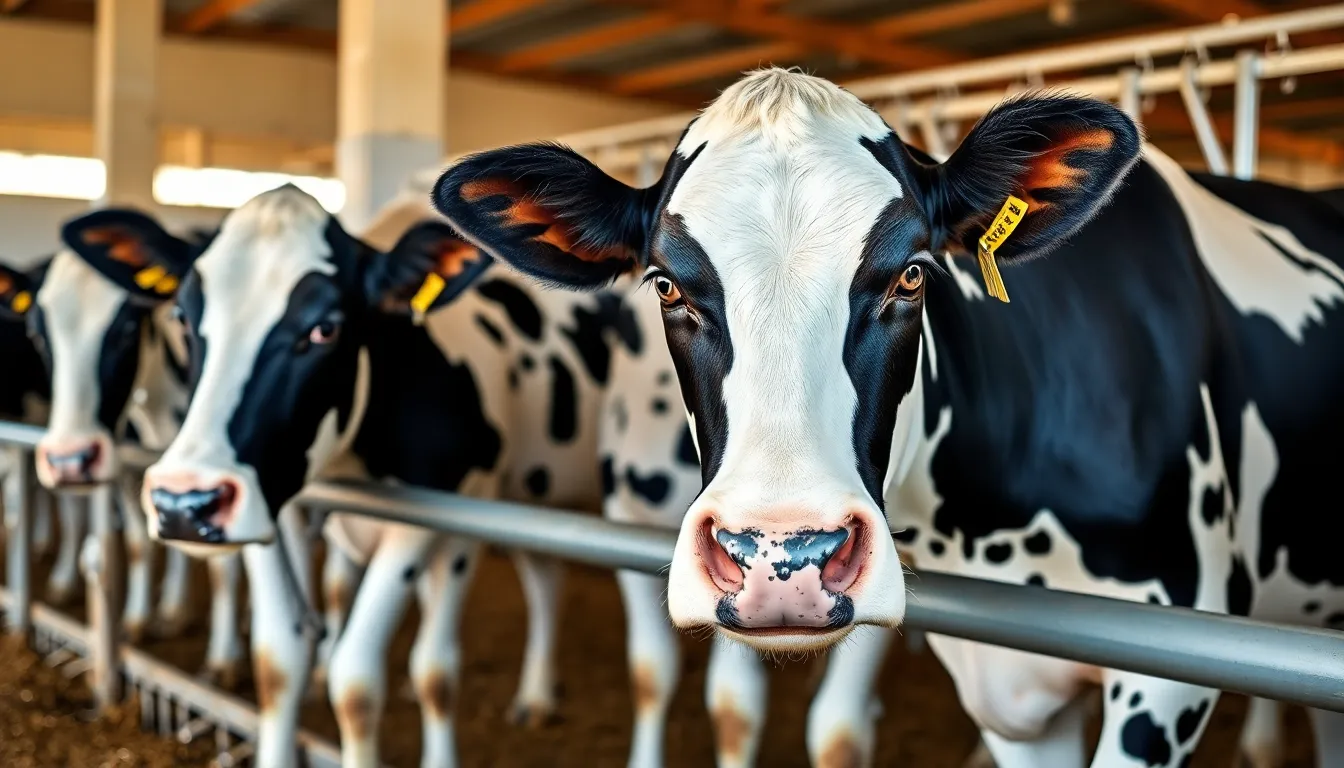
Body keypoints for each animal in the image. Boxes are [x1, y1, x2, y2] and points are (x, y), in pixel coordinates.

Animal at [13, 216, 246, 691]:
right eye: (36, 333)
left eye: (124, 329)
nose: (67, 461)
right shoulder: (127, 463)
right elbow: (140, 543)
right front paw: (139, 619)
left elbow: (223, 567)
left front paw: (222, 661)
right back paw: (172, 610)